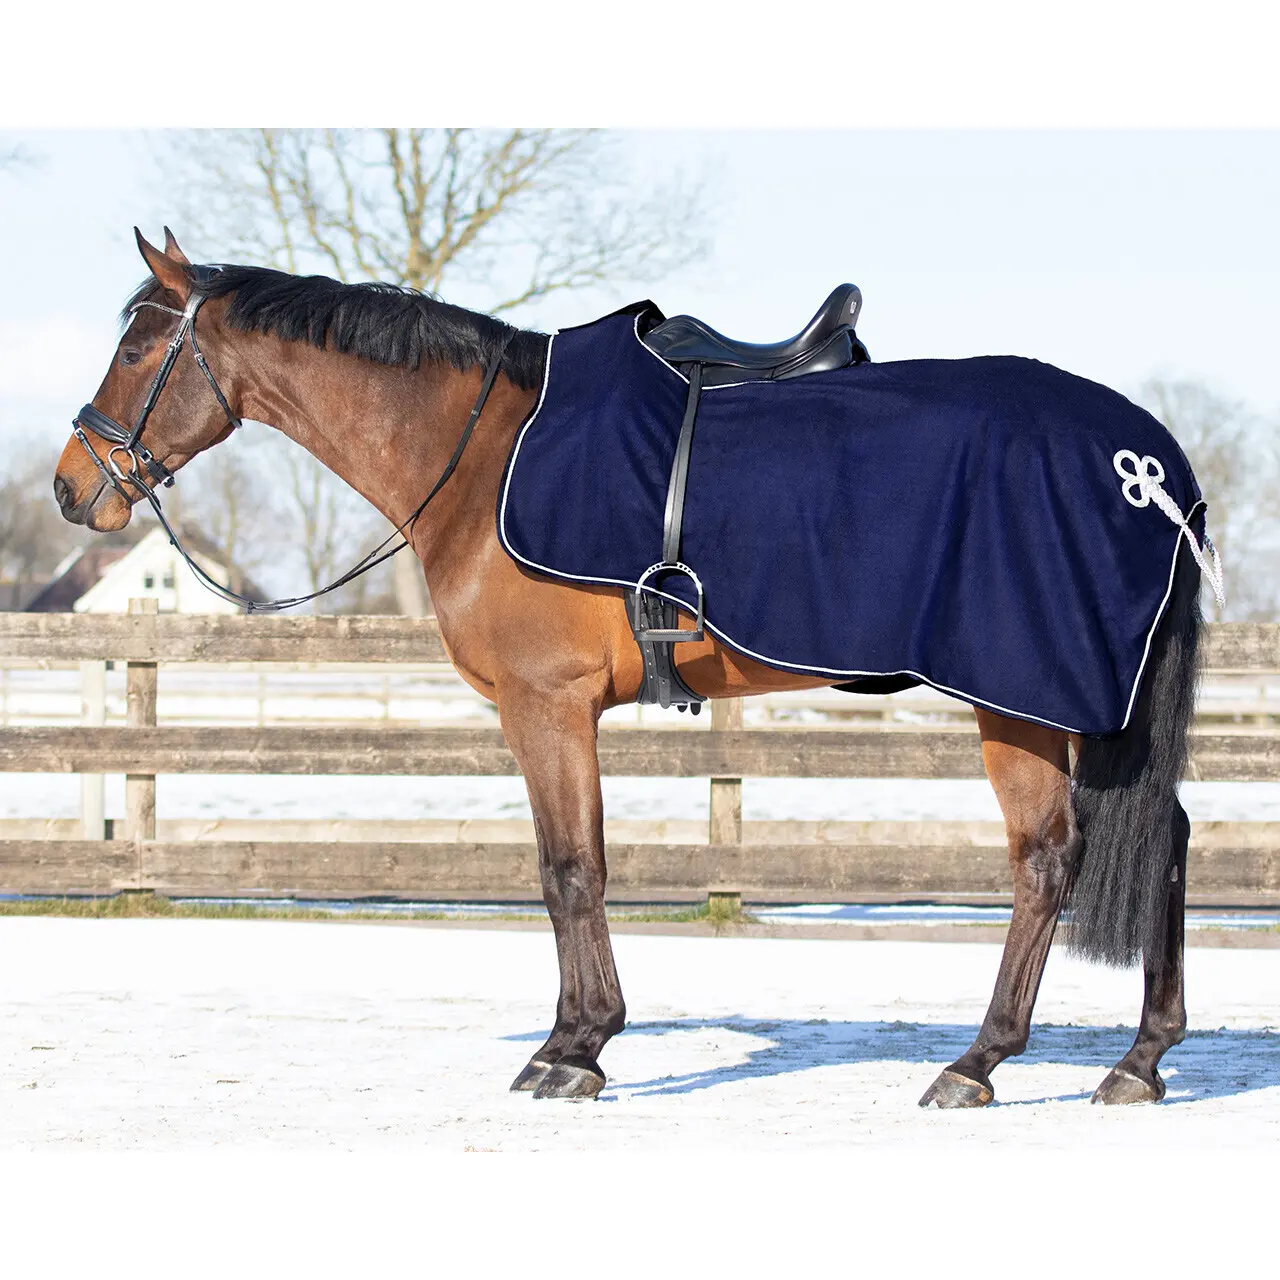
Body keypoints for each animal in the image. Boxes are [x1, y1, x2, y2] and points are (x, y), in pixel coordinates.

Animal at [53, 228, 1203, 1107]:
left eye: (134, 350)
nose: (72, 487)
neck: (481, 453)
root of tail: (1147, 464)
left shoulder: (546, 704)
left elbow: (570, 870)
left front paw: (573, 1049)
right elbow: (573, 868)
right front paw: (578, 1038)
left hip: (1021, 700)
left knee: (1045, 859)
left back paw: (977, 1062)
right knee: (1164, 839)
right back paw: (1137, 1061)